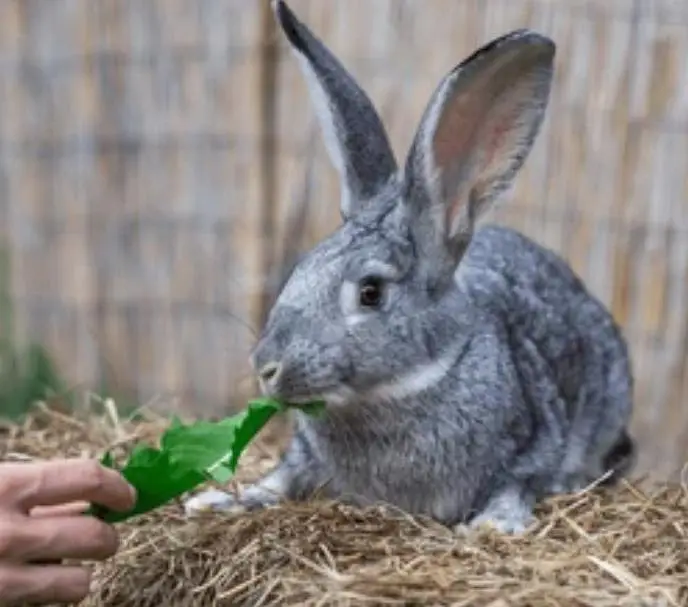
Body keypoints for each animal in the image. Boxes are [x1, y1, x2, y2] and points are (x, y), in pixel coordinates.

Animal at [184, 0, 636, 534]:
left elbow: (519, 481)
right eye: (299, 270)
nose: (266, 367)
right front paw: (215, 502)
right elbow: (280, 479)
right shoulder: (301, 457)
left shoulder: (537, 439)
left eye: (371, 292)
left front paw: (492, 525)